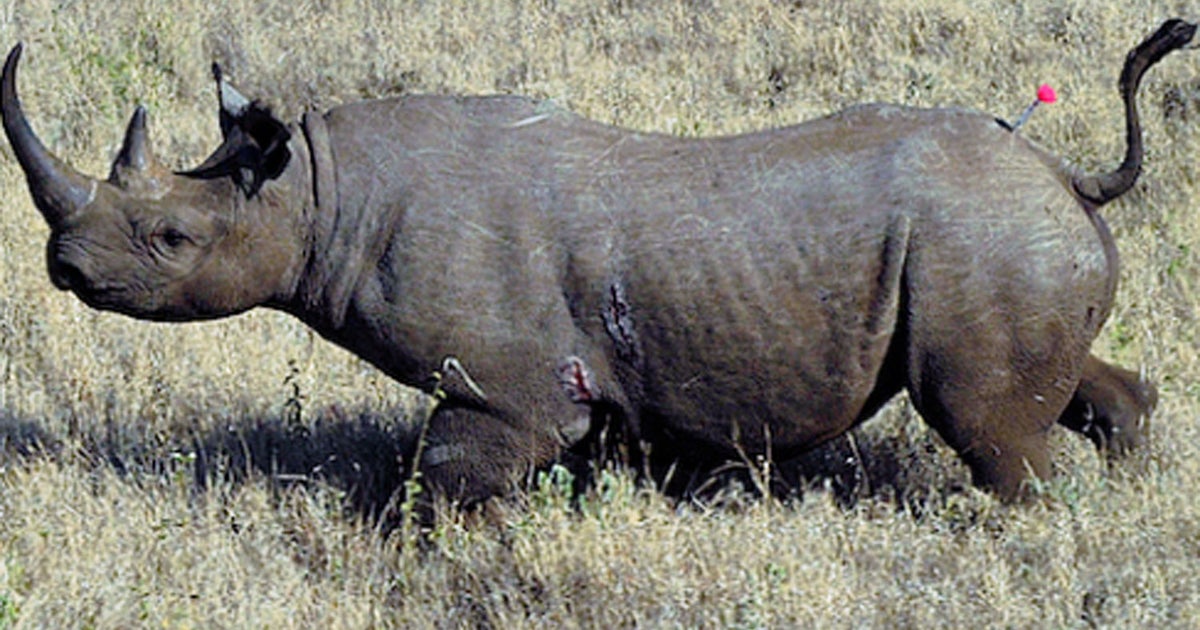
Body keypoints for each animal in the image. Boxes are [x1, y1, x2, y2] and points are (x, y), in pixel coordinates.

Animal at [2, 19, 1187, 507]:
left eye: (169, 240)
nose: (65, 267)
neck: (322, 193)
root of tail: (1070, 174)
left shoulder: (507, 389)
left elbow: (442, 481)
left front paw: (434, 555)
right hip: (1004, 237)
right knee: (1048, 389)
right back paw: (1126, 494)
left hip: (978, 239)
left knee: (983, 423)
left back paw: (1024, 532)